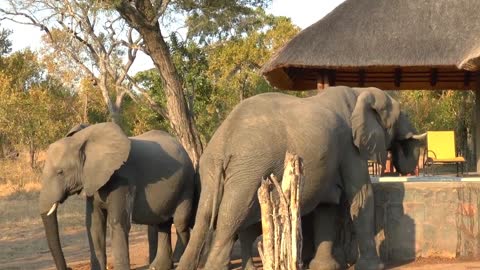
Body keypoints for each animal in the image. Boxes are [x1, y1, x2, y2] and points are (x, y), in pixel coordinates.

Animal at [38, 122, 194, 270]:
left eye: (60, 172)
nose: (69, 268)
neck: (83, 139)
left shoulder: (123, 180)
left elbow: (118, 222)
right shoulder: (93, 179)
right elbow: (94, 225)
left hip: (186, 184)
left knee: (180, 222)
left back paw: (178, 259)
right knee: (163, 224)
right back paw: (158, 266)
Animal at [177, 87, 424, 270]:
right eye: (402, 115)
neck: (360, 92)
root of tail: (225, 140)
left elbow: (327, 207)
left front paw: (325, 267)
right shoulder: (349, 147)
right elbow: (361, 196)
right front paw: (374, 267)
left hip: (210, 170)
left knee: (205, 216)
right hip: (249, 169)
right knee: (231, 217)